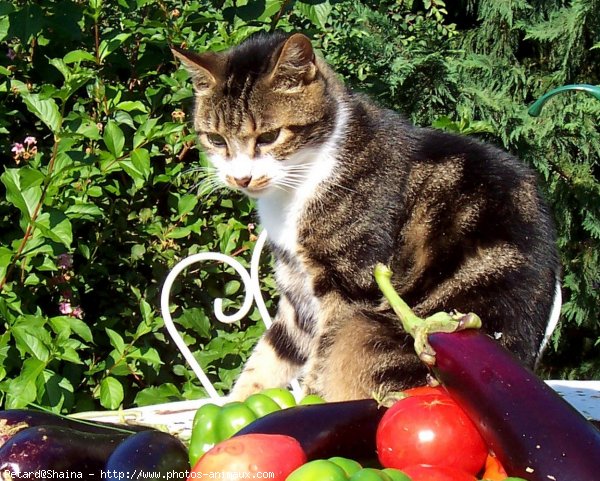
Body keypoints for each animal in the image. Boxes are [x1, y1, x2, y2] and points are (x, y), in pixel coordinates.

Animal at [171, 31, 560, 402]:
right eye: (216, 139)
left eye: (269, 136)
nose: (241, 178)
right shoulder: (297, 295)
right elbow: (267, 359)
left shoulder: (350, 284)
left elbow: (320, 361)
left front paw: (309, 405)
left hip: (372, 333)